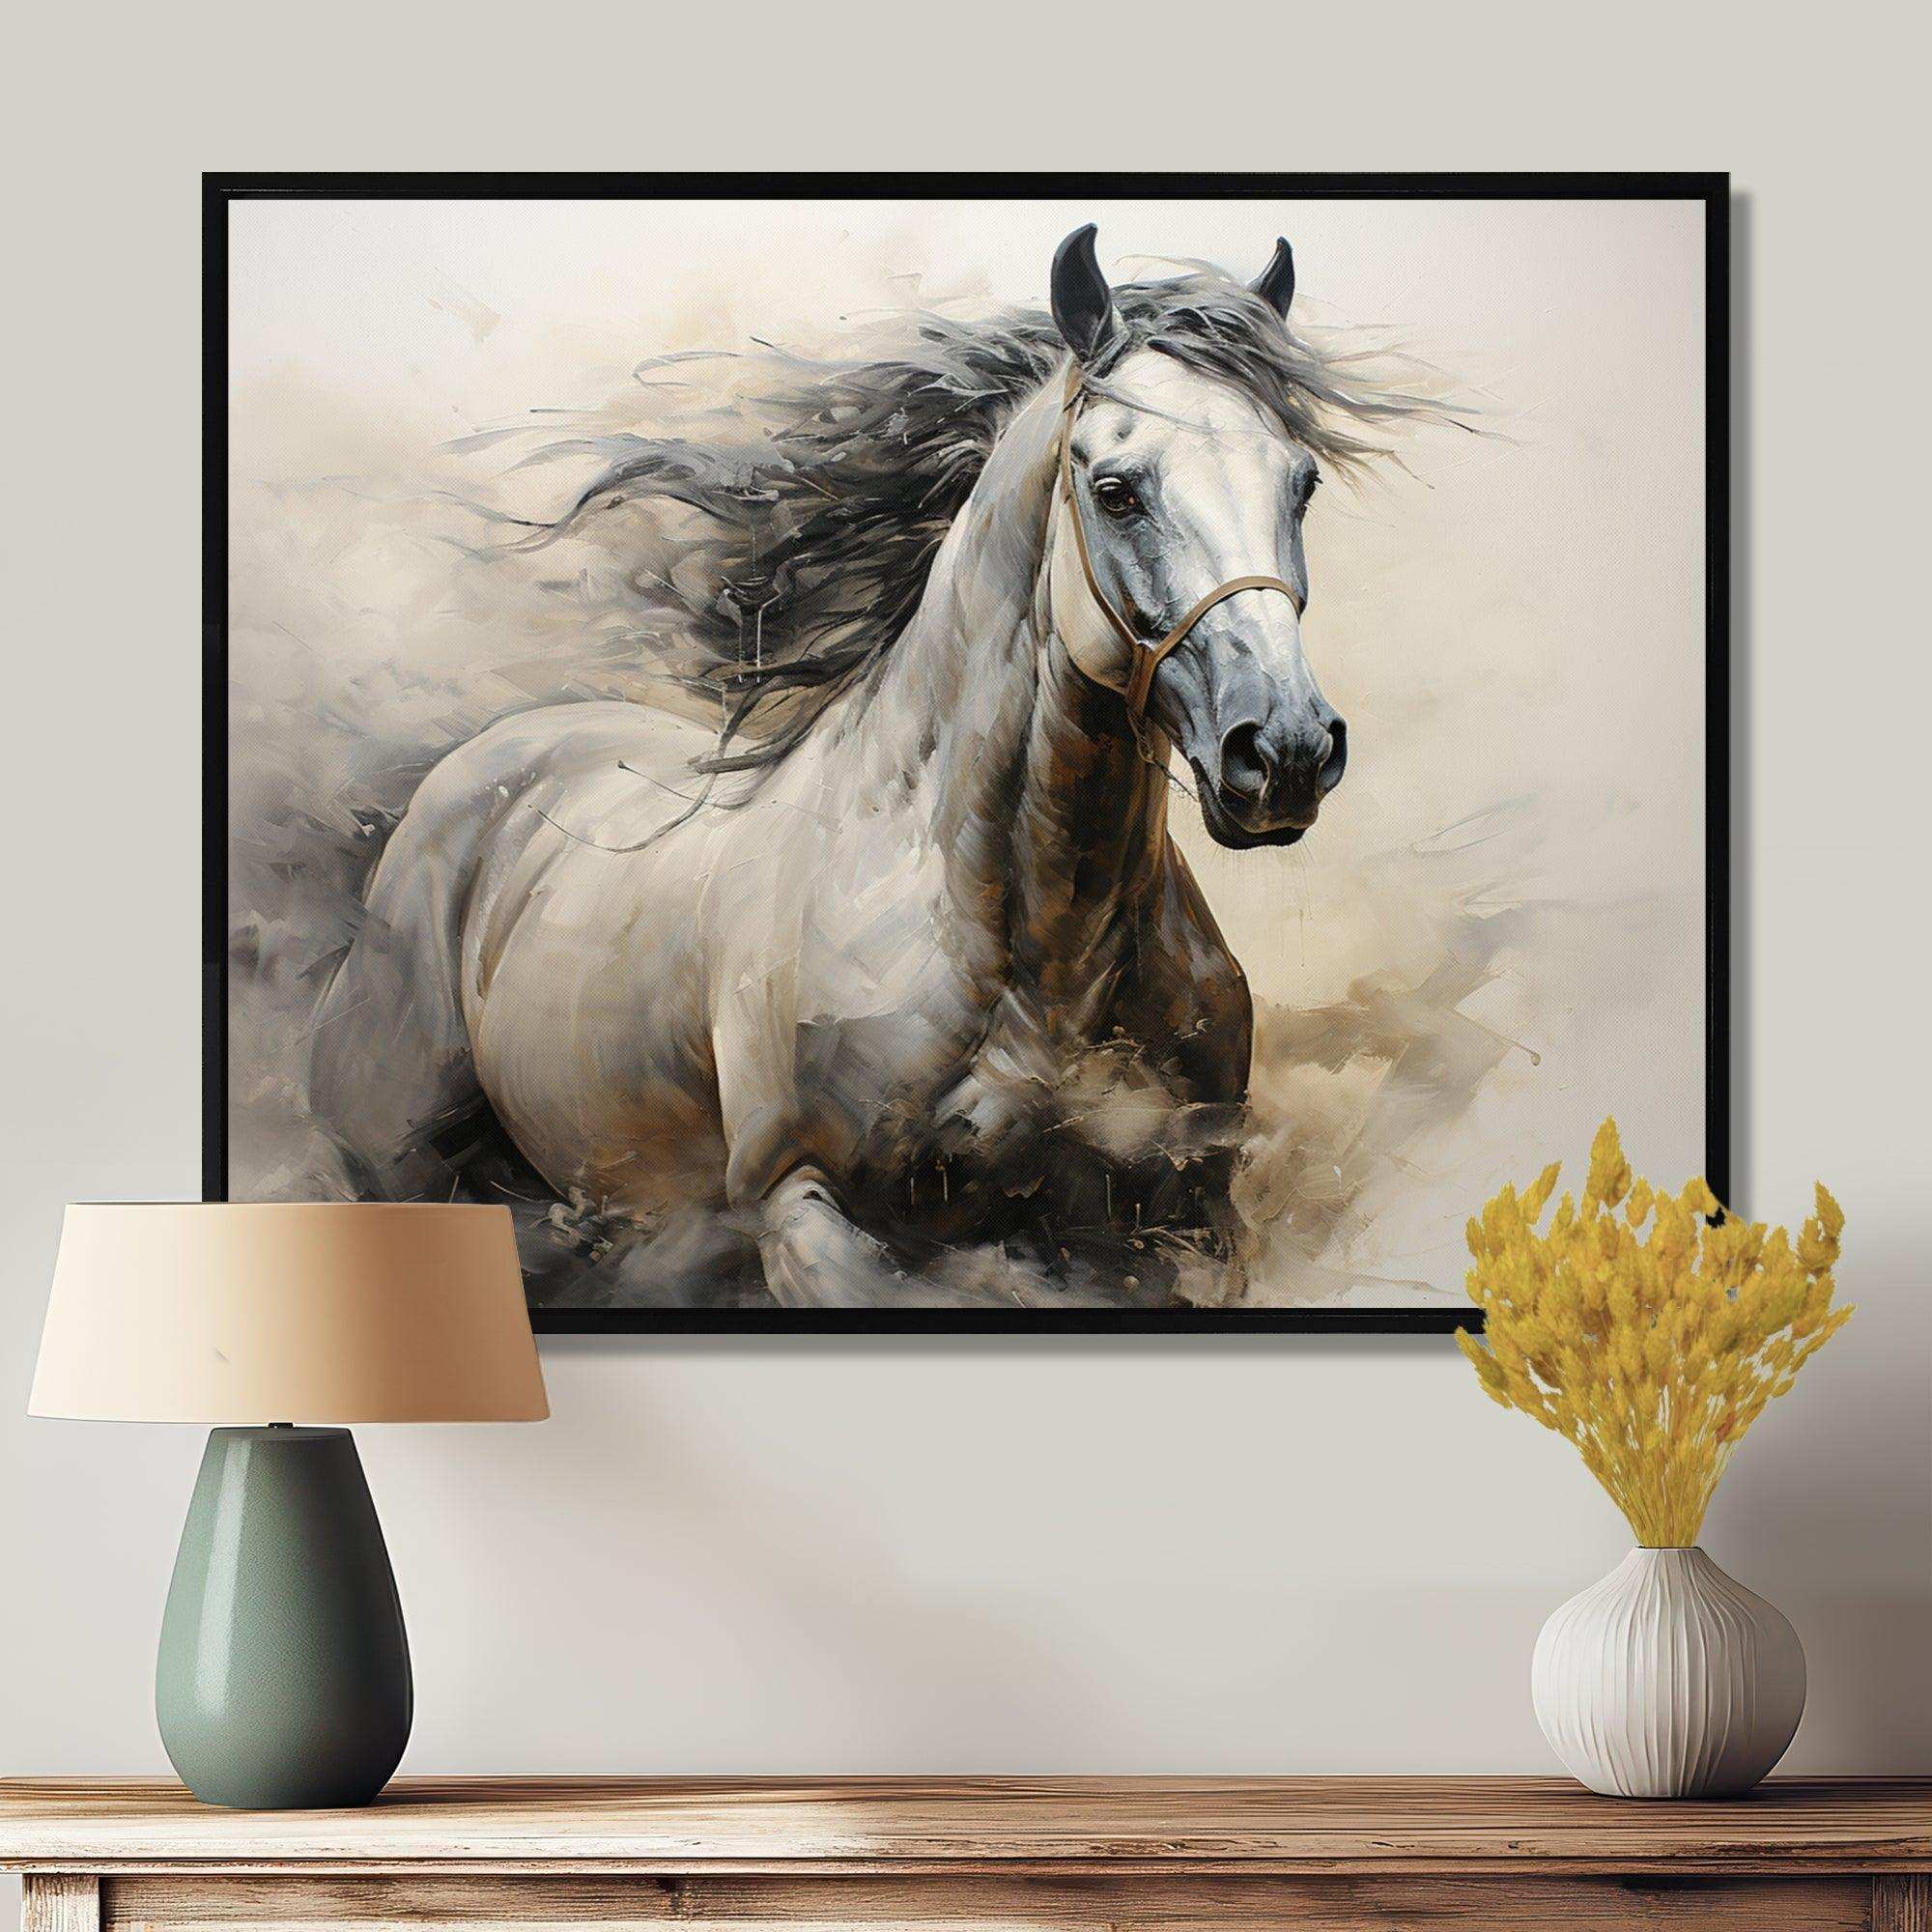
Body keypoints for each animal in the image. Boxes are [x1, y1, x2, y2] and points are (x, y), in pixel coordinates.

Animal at [308, 225, 1401, 1308]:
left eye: (1299, 482)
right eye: (1116, 490)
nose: (1285, 751)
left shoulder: (1179, 1228)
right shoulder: (803, 1212)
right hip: (408, 1176)